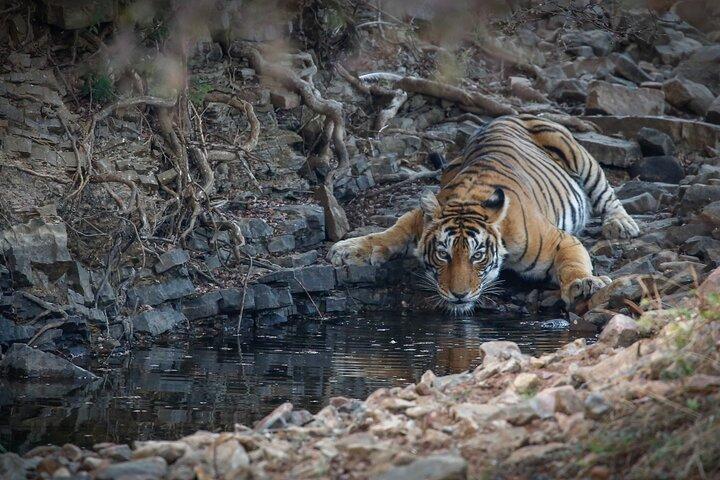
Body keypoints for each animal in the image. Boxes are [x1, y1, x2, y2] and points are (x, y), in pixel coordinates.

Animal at [328, 114, 640, 314]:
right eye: (443, 254)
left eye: (478, 255)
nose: (459, 295)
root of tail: (509, 114)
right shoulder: (419, 217)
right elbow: (390, 232)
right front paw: (347, 249)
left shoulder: (560, 240)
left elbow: (572, 263)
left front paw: (583, 284)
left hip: (576, 153)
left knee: (606, 192)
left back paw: (621, 225)